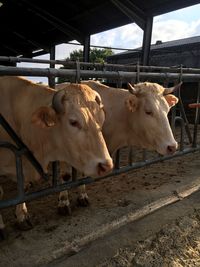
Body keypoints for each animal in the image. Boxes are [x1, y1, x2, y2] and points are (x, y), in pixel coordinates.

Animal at [55, 80, 180, 213]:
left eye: (167, 110)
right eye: (148, 111)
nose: (172, 146)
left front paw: (82, 196)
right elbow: (66, 176)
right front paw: (63, 202)